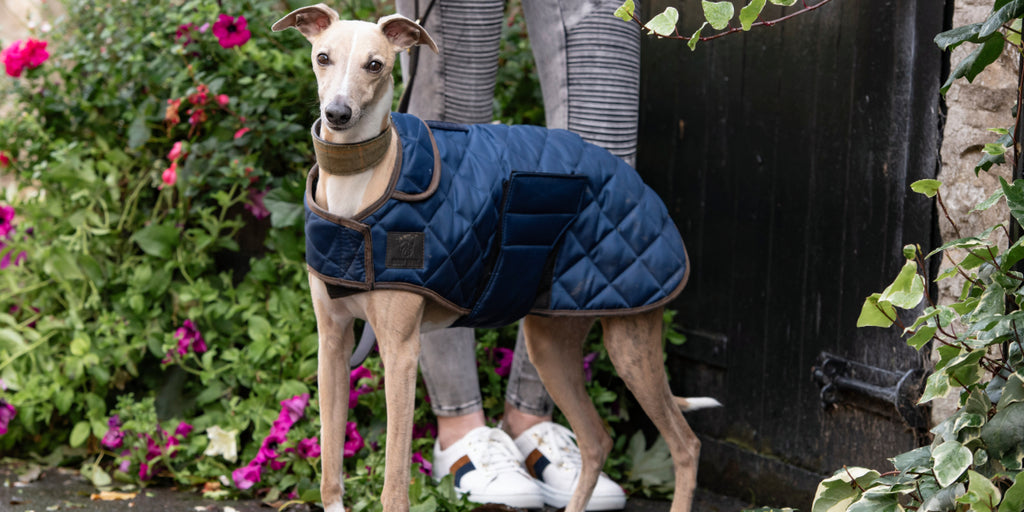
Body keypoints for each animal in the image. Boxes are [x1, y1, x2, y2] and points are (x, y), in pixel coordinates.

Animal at [274, 4, 712, 512]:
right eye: (322, 57)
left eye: (375, 65)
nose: (338, 114)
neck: (361, 182)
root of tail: (639, 185)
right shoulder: (332, 343)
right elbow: (329, 471)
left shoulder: (401, 353)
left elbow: (395, 484)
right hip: (552, 340)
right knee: (597, 440)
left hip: (630, 340)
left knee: (685, 443)